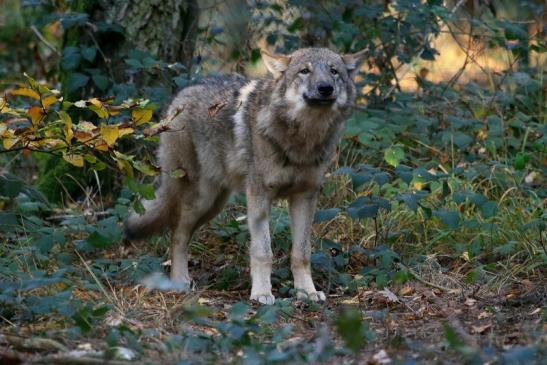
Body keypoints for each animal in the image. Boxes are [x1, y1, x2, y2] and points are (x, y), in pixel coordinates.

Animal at [127, 47, 368, 302]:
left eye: (334, 71)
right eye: (305, 71)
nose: (325, 88)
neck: (302, 139)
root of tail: (180, 96)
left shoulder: (305, 196)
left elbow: (301, 253)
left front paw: (307, 292)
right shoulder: (259, 196)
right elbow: (263, 251)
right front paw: (261, 293)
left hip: (215, 204)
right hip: (201, 200)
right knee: (177, 232)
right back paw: (179, 281)